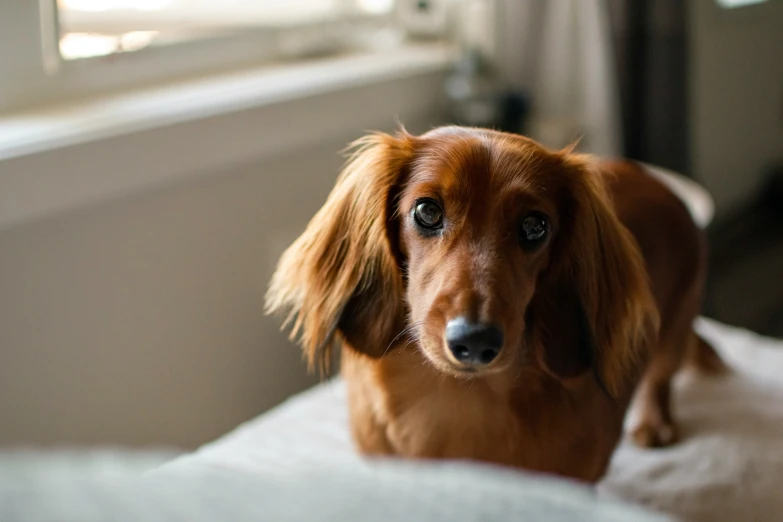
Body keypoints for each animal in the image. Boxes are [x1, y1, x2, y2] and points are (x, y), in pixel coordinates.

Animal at [266, 125, 724, 480]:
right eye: (427, 211)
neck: (456, 401)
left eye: (535, 226)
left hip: (673, 327)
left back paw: (654, 422)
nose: (474, 340)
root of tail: (658, 182)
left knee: (660, 377)